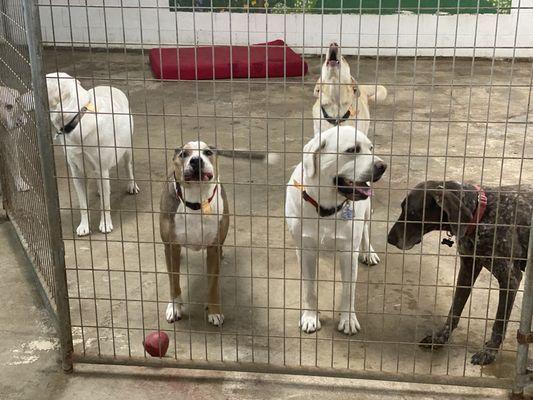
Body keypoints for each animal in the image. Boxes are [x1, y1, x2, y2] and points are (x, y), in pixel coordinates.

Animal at [284, 126, 384, 334]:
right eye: (352, 150)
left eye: (370, 148)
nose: (383, 166)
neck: (326, 208)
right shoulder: (305, 251)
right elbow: (309, 289)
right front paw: (310, 317)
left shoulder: (348, 252)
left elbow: (348, 291)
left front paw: (348, 319)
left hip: (367, 211)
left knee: (365, 230)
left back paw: (369, 252)